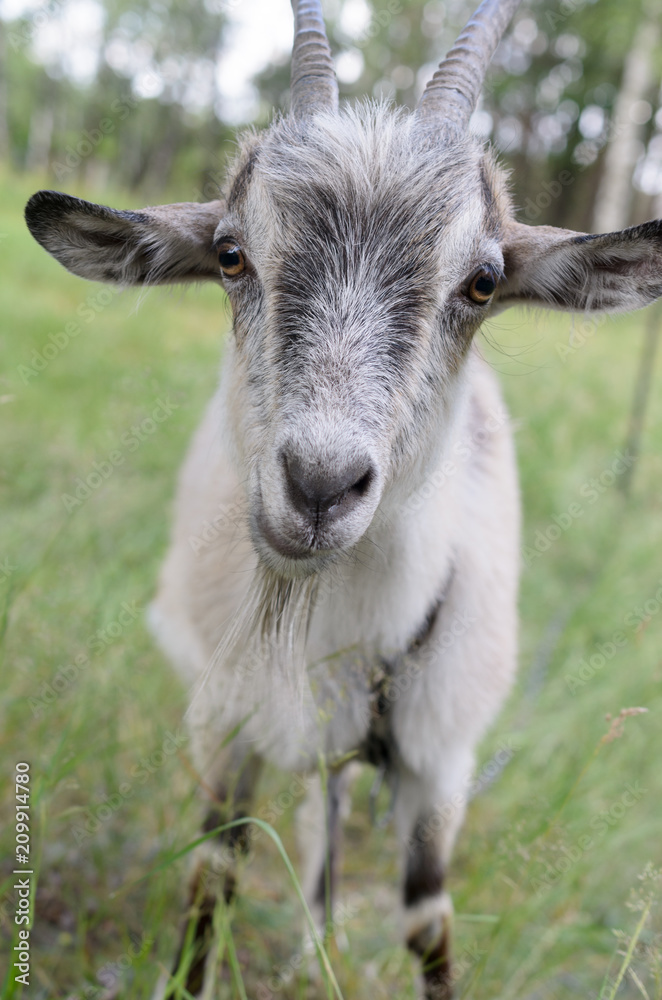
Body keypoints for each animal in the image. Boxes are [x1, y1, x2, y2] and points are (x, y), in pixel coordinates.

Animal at [24, 0, 662, 995]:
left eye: (483, 282)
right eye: (230, 255)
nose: (319, 485)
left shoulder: (441, 756)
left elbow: (428, 922)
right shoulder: (226, 724)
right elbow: (212, 879)